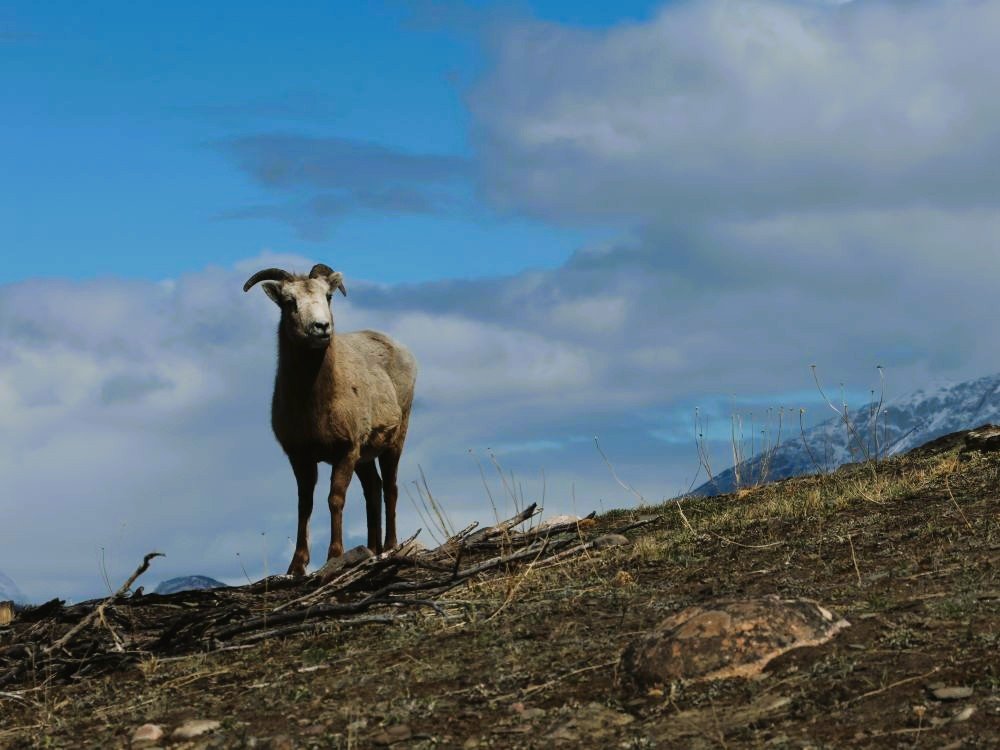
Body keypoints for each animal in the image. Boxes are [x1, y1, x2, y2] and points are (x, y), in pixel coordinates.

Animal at [243, 263, 417, 576]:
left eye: (329, 297)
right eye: (289, 302)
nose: (321, 327)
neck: (314, 406)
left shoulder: (345, 451)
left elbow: (335, 499)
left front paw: (334, 556)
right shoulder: (300, 456)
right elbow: (305, 504)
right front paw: (297, 565)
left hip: (395, 441)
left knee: (390, 488)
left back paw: (389, 547)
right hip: (365, 457)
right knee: (373, 490)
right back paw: (371, 549)